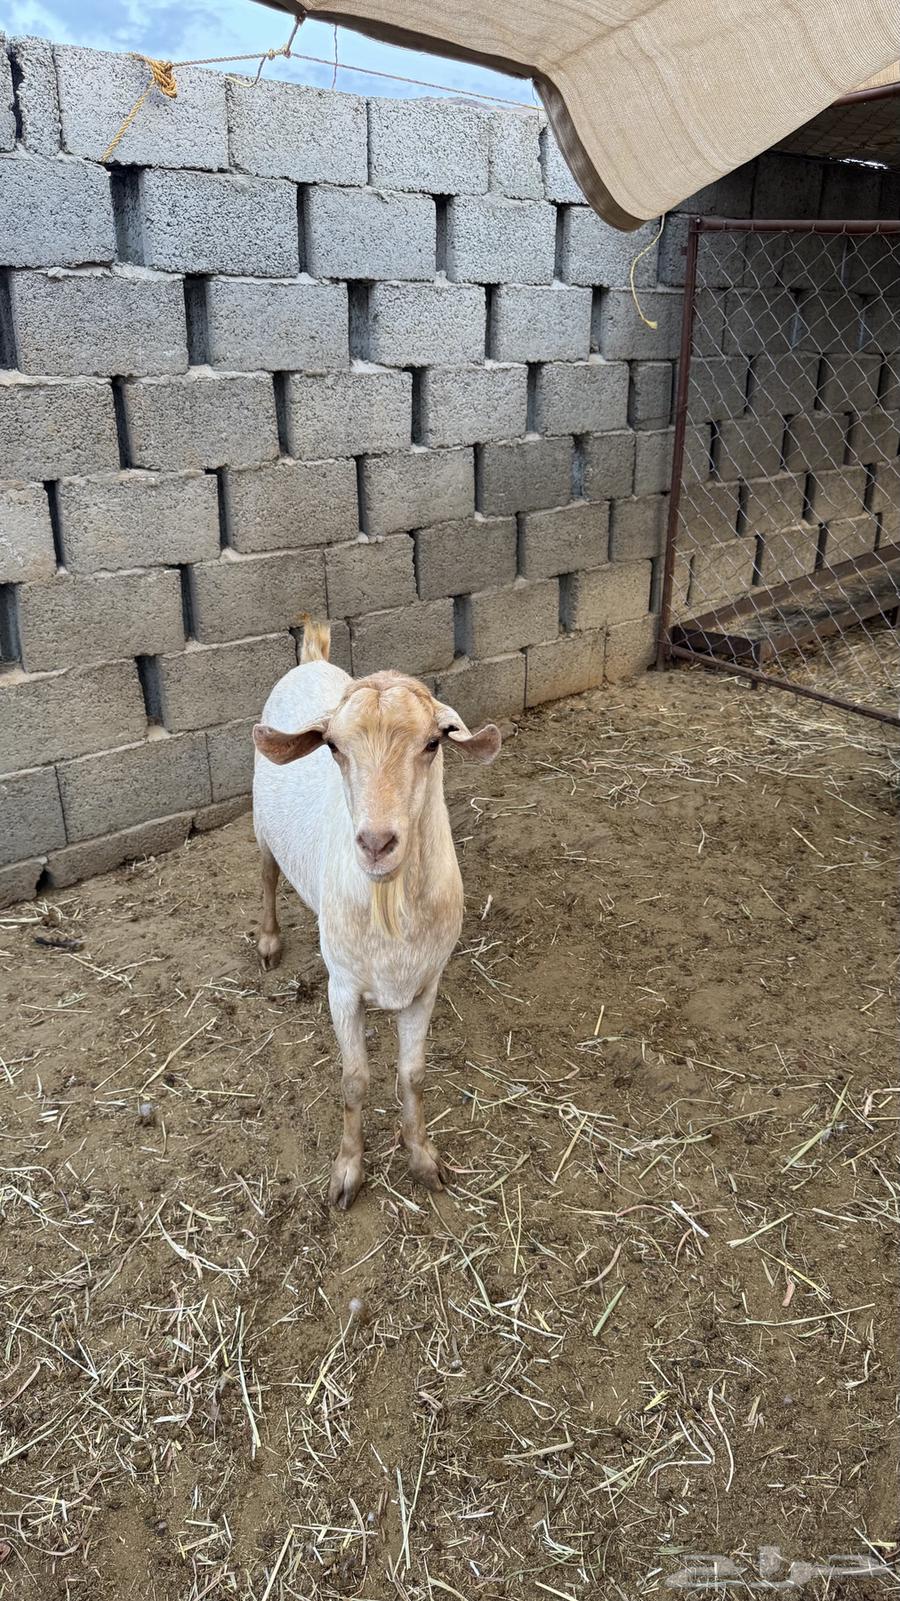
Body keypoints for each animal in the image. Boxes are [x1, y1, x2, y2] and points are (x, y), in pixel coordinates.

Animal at [252, 620, 502, 1209]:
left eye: (434, 742)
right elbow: (354, 1080)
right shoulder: (343, 987)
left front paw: (423, 1160)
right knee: (268, 875)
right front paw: (347, 1172)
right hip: (261, 825)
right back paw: (269, 942)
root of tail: (312, 660)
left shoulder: (426, 984)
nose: (376, 844)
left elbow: (413, 1075)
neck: (390, 914)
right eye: (333, 746)